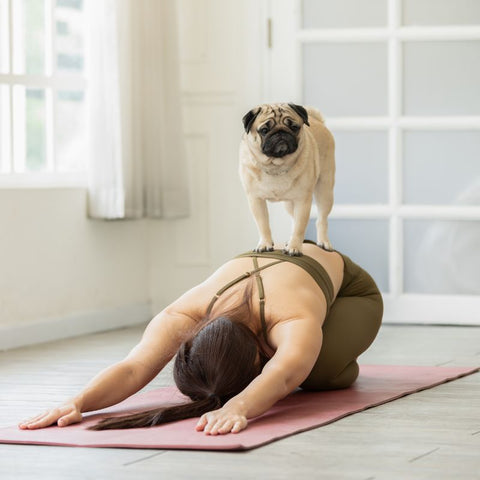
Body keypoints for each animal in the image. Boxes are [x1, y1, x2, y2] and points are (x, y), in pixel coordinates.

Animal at [239, 103, 334, 256]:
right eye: (264, 130)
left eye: (294, 127)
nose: (281, 132)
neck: (276, 165)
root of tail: (318, 121)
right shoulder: (256, 200)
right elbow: (263, 225)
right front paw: (265, 244)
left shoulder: (303, 201)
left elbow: (299, 227)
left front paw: (294, 247)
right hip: (290, 204)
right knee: (293, 219)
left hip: (325, 191)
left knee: (321, 219)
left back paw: (324, 242)